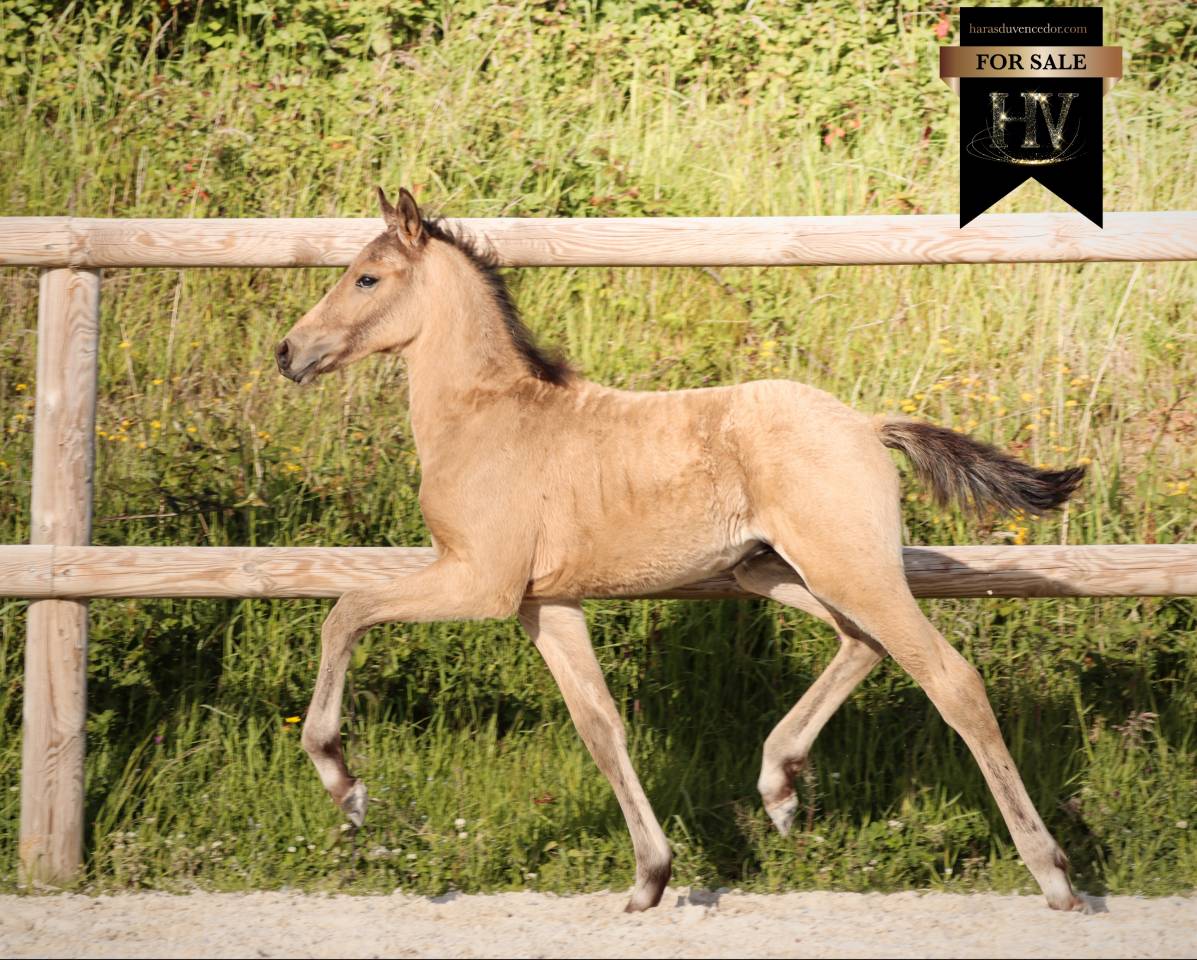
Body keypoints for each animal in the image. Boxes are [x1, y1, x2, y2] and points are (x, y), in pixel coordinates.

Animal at [274, 187, 1087, 913]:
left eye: (367, 277)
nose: (289, 352)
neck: (486, 418)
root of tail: (865, 424)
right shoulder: (547, 602)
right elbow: (600, 727)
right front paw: (650, 878)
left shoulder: (481, 583)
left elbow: (346, 611)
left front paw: (344, 785)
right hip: (775, 572)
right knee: (861, 643)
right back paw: (780, 790)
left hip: (847, 570)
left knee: (951, 679)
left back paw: (1052, 873)